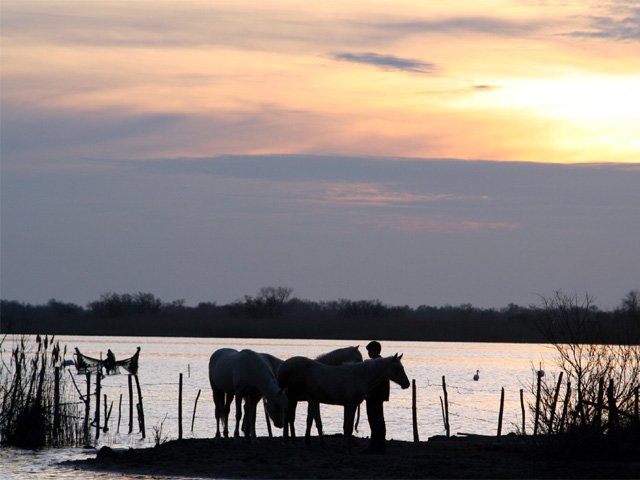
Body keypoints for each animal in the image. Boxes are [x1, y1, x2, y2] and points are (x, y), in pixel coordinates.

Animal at [276, 352, 408, 450]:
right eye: (398, 367)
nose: (407, 384)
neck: (359, 376)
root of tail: (282, 366)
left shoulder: (351, 405)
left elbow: (348, 426)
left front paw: (346, 445)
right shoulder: (349, 404)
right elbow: (347, 426)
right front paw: (346, 447)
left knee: (289, 418)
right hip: (292, 398)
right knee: (289, 418)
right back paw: (289, 441)